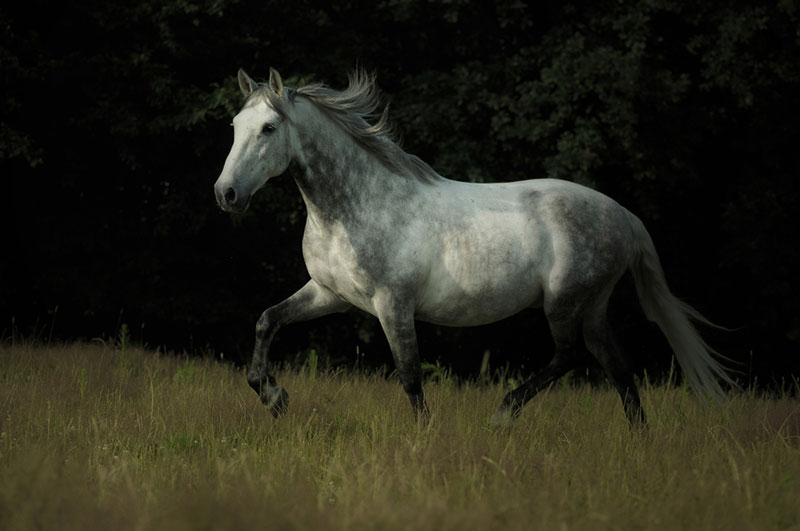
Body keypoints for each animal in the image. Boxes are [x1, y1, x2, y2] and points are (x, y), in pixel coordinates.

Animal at [213, 67, 735, 426]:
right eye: (236, 125)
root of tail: (624, 216)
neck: (354, 206)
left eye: (269, 128)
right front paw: (274, 397)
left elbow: (410, 376)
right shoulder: (330, 294)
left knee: (571, 357)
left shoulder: (393, 304)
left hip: (564, 301)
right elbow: (266, 321)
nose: (226, 194)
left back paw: (503, 414)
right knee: (619, 370)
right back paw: (639, 443)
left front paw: (424, 439)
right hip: (592, 306)